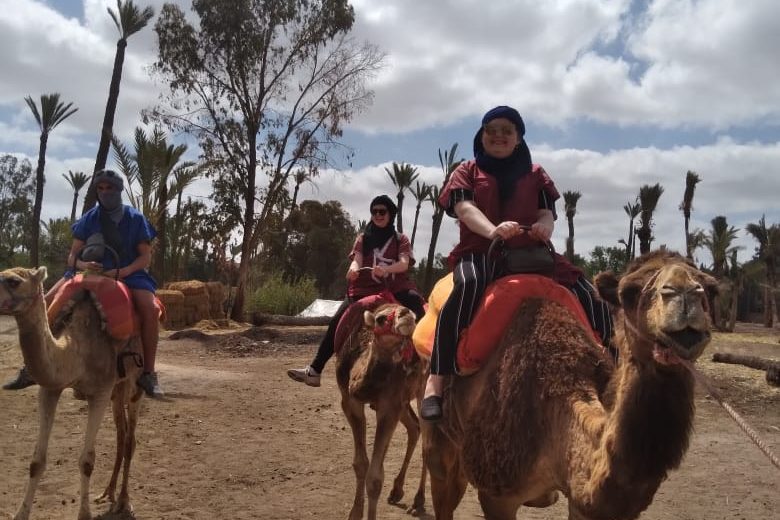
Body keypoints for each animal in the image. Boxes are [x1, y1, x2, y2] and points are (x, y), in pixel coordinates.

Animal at [0, 268, 145, 520]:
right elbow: (36, 461)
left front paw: (84, 514)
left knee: (130, 439)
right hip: (117, 390)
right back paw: (107, 493)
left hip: (134, 383)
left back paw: (124, 502)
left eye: (14, 281)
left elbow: (87, 460)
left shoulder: (100, 392)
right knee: (121, 433)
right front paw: (21, 514)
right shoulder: (50, 388)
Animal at [336, 302, 430, 516]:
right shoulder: (350, 402)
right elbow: (361, 464)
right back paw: (396, 492)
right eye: (380, 319)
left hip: (423, 388)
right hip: (403, 402)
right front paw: (354, 513)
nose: (407, 315)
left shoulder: (389, 407)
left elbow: (375, 478)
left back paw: (417, 502)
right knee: (414, 428)